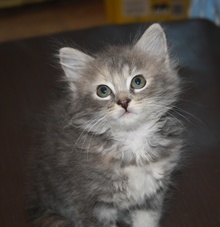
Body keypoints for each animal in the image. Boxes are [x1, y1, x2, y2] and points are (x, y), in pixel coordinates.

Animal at [28, 23, 184, 227]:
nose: (124, 102)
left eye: (138, 81)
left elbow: (146, 221)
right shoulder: (91, 203)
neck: (132, 142)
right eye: (103, 91)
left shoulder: (150, 197)